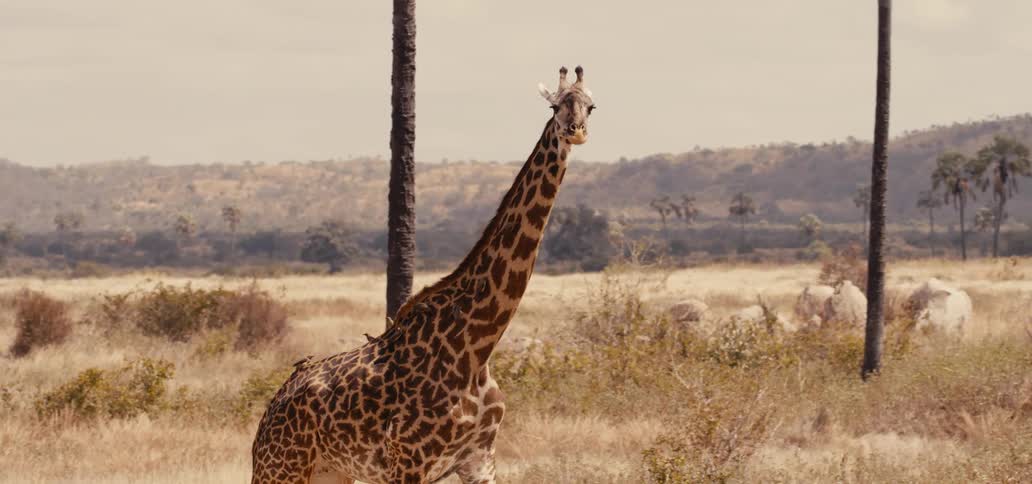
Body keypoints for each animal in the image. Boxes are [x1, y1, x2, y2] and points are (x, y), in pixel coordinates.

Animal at [251, 66, 596, 484]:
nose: (575, 131)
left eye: (591, 107)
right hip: (281, 467)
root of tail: (273, 404)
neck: (476, 347)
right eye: (555, 106)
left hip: (330, 472)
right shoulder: (409, 463)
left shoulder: (480, 460)